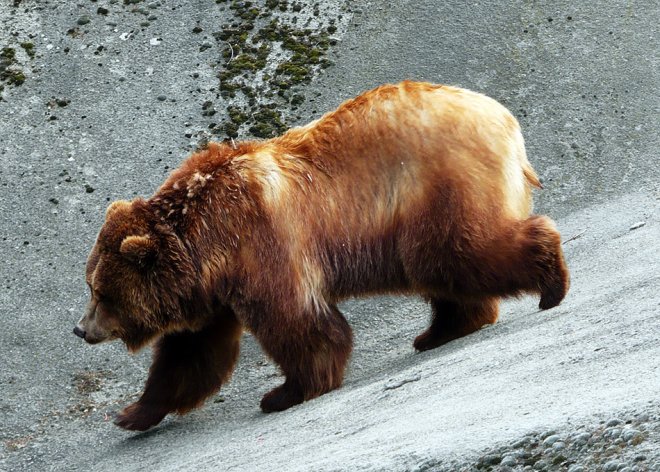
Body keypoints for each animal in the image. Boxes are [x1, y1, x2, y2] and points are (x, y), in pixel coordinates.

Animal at [71, 81, 568, 432]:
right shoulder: (212, 293)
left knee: (461, 253)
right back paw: (439, 331)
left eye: (101, 292)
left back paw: (551, 283)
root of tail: (504, 118)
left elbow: (298, 323)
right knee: (444, 271)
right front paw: (132, 413)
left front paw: (284, 392)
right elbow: (191, 353)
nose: (80, 329)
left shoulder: (262, 244)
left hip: (437, 187)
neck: (206, 242)